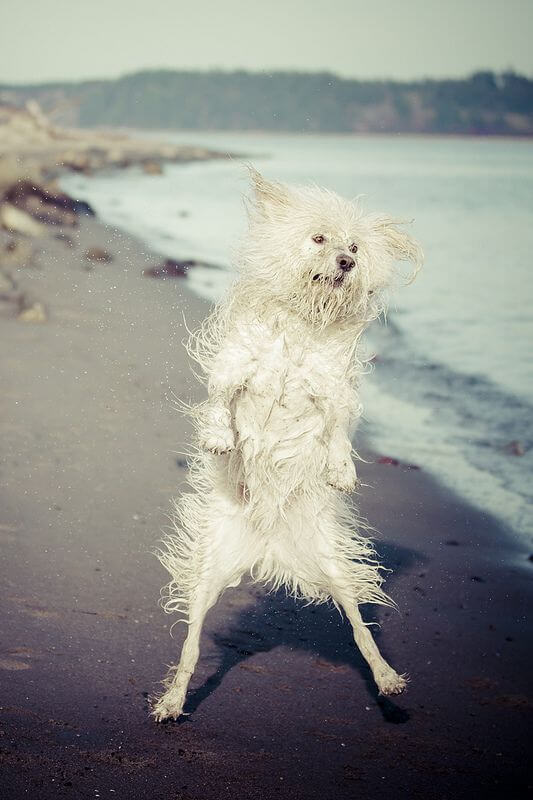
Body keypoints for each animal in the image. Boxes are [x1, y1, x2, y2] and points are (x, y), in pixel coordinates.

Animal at [152, 166, 422, 720]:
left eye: (354, 247)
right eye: (318, 238)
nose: (345, 261)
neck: (302, 324)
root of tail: (268, 547)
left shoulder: (333, 389)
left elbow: (336, 427)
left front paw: (340, 469)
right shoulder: (236, 364)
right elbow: (222, 397)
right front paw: (218, 434)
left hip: (336, 569)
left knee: (361, 630)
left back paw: (386, 678)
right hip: (206, 573)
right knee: (190, 646)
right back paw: (172, 699)